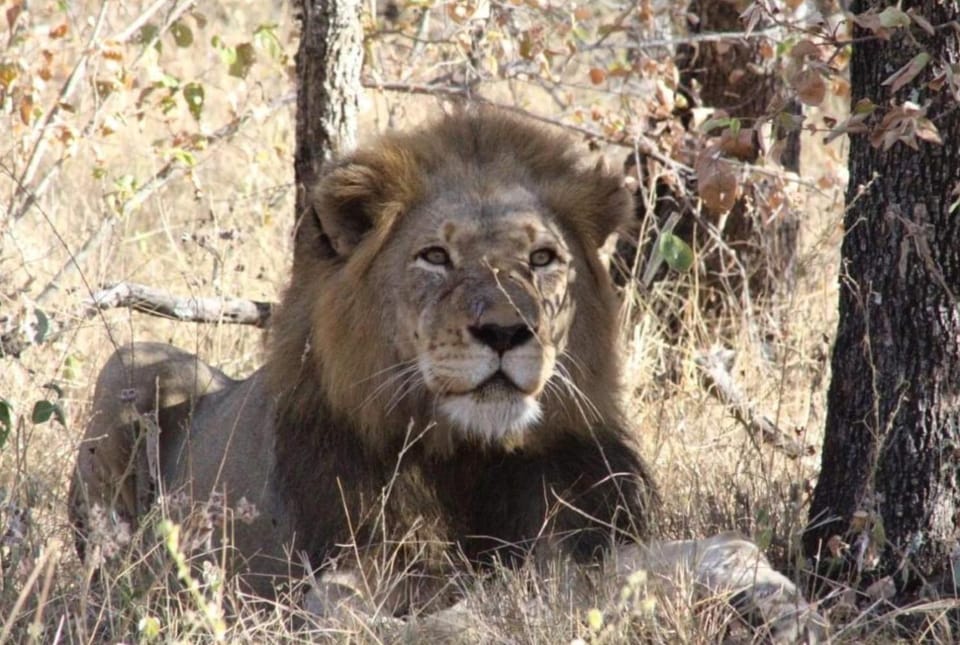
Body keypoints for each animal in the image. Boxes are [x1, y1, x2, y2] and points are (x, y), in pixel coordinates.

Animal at [70, 107, 825, 639]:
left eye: (543, 259)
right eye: (435, 256)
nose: (506, 332)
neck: (471, 458)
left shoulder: (586, 528)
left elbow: (691, 553)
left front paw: (777, 600)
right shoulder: (331, 582)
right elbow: (448, 610)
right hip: (133, 366)